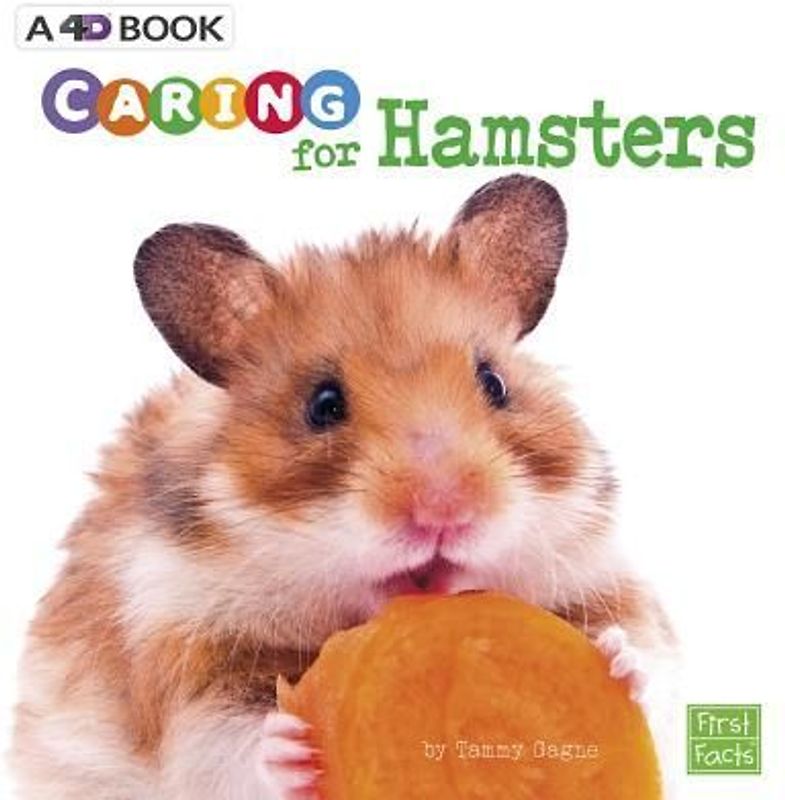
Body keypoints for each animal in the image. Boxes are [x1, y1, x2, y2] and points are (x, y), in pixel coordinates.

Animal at [11, 175, 674, 800]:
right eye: (323, 405)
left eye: (494, 383)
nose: (446, 512)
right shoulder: (185, 659)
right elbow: (230, 747)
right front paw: (291, 749)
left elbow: (651, 655)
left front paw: (619, 663)